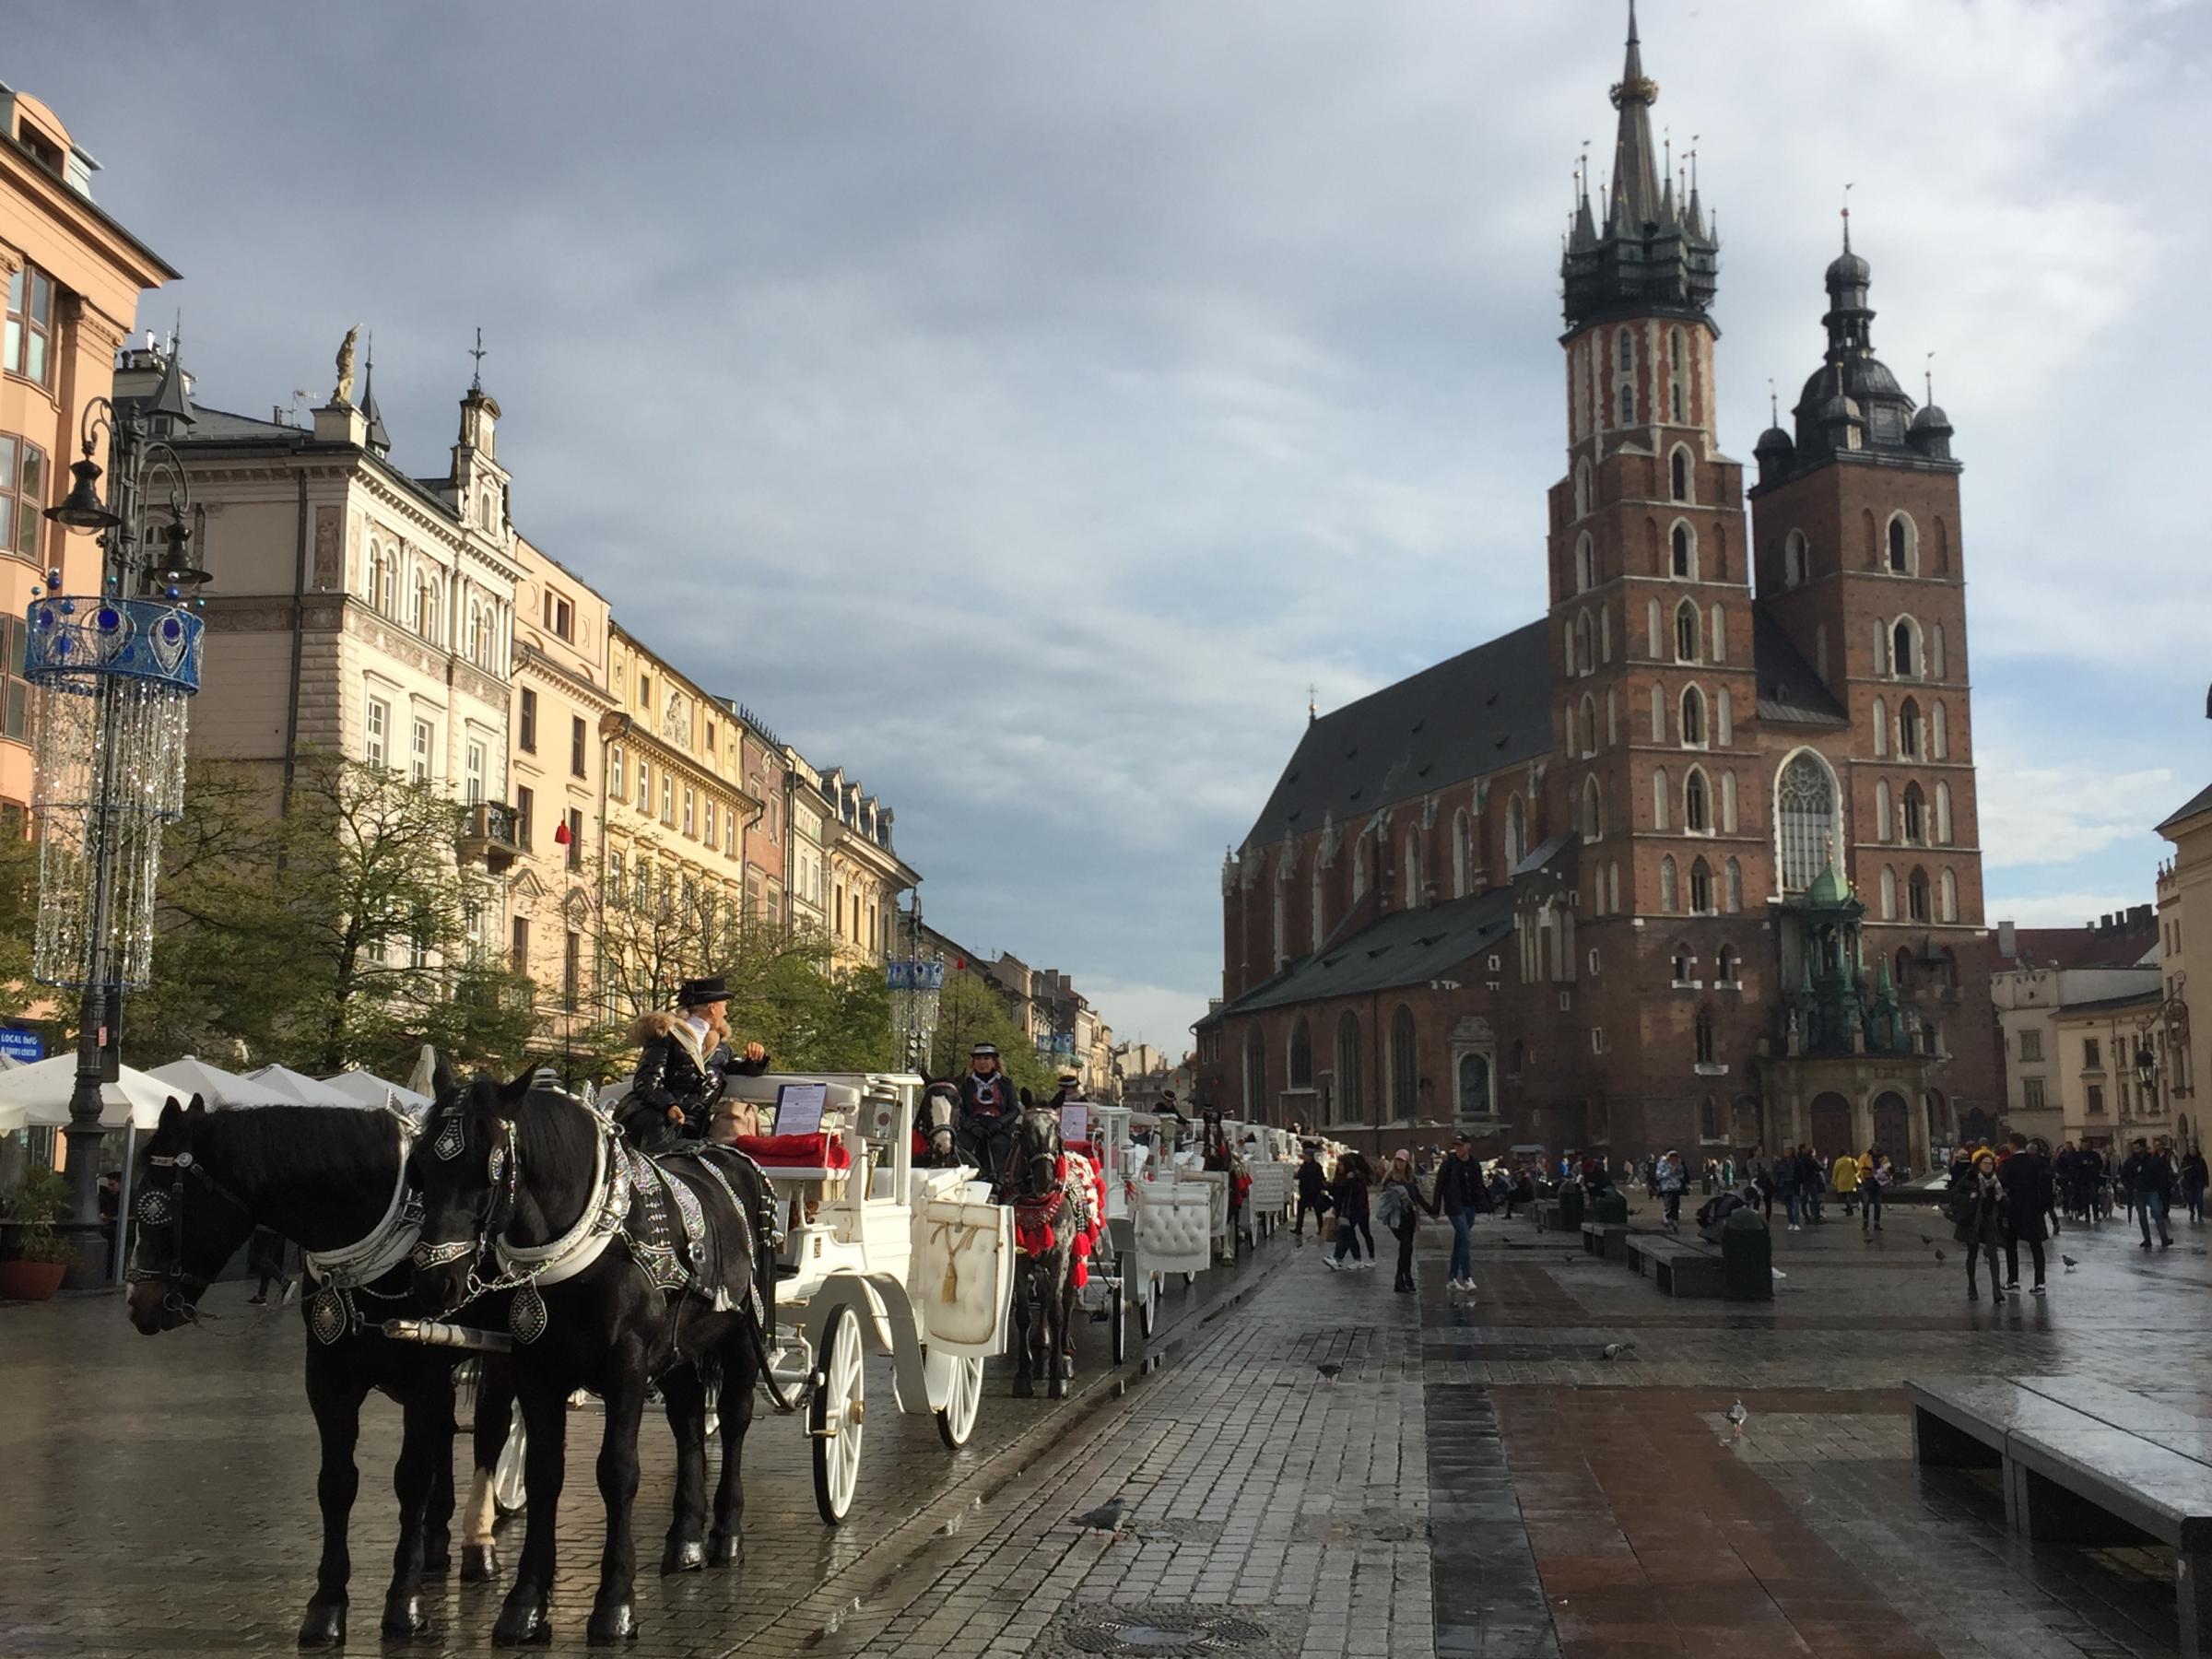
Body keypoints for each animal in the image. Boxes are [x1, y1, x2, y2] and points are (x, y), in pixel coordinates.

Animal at [124, 1092, 517, 1654]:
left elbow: (410, 1481)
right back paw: (438, 1542)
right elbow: (337, 1485)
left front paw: (403, 1604)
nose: (138, 1304)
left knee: (489, 1435)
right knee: (446, 1438)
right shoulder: (329, 1382)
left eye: (157, 1204)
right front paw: (327, 1607)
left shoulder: (422, 1379)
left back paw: (477, 1542)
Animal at [411, 1065, 782, 1654]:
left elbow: (618, 1472)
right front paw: (524, 1607)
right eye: (420, 1169)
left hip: (741, 1339)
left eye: (488, 1170)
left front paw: (614, 1607)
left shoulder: (626, 1368)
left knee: (735, 1421)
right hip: (678, 1351)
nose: (433, 1283)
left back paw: (725, 1536)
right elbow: (544, 1474)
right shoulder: (535, 1371)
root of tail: (728, 1155)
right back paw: (685, 1542)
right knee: (689, 1423)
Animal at [1004, 1110, 1079, 1397]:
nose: (1044, 1178)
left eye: (1057, 1130)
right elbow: (1023, 1315)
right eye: (1023, 1131)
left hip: (1075, 1258)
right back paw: (1040, 1344)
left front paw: (1058, 1378)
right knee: (1046, 1297)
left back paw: (1065, 1353)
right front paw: (1023, 1375)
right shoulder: (1020, 1261)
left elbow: (1058, 1312)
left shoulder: (1060, 1258)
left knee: (1067, 1301)